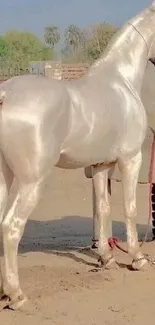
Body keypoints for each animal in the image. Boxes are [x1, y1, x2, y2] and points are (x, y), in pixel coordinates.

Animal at [0, 0, 155, 308]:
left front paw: (106, 258)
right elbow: (130, 208)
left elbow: (104, 209)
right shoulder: (131, 159)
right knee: (11, 227)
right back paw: (16, 295)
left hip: (4, 175)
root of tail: (6, 95)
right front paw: (137, 258)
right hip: (31, 182)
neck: (121, 80)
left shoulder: (101, 165)